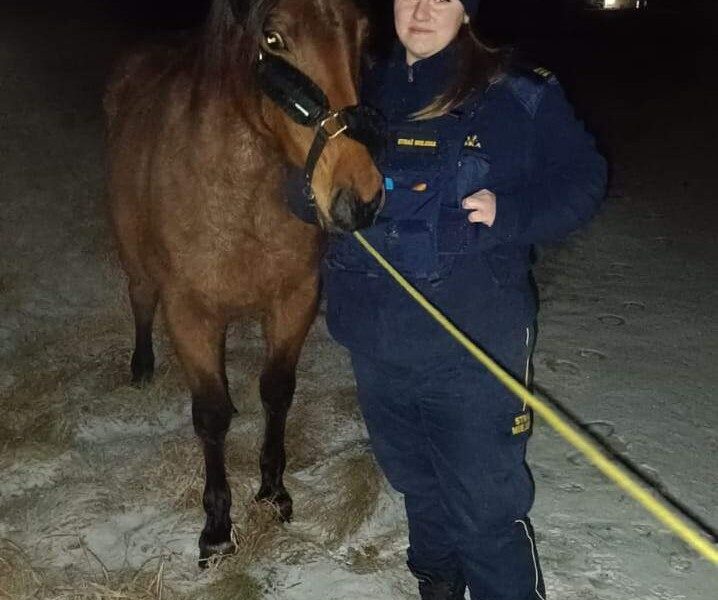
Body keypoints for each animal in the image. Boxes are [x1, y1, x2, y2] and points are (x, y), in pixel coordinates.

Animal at [104, 0, 383, 564]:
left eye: (363, 34)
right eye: (272, 40)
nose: (359, 199)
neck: (240, 194)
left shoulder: (295, 300)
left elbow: (276, 392)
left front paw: (273, 492)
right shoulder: (190, 314)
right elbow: (210, 417)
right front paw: (216, 528)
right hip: (137, 260)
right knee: (140, 298)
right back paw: (141, 367)